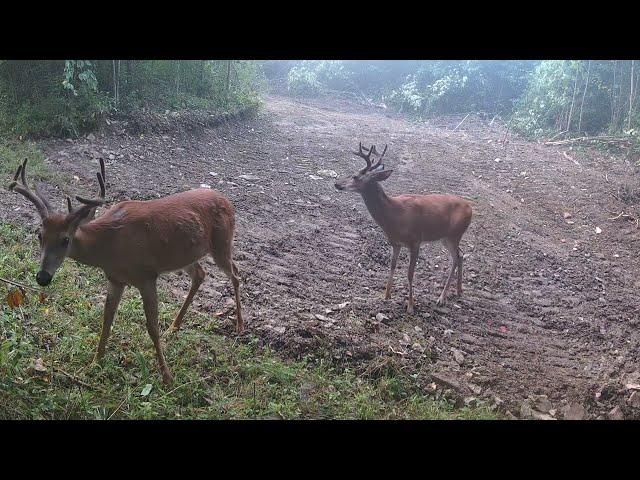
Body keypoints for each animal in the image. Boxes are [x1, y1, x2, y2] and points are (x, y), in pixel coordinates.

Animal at [7, 158, 242, 386]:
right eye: (39, 235)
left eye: (65, 239)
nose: (42, 277)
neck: (110, 244)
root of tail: (227, 201)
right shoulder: (115, 279)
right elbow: (107, 319)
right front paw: (94, 363)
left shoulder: (147, 276)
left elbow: (152, 327)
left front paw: (167, 376)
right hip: (186, 256)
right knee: (200, 275)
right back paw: (174, 326)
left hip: (222, 242)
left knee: (235, 274)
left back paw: (239, 325)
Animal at [336, 142, 470, 316]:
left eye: (355, 176)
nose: (337, 184)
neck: (394, 216)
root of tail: (470, 208)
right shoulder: (395, 242)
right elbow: (392, 265)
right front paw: (386, 295)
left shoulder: (416, 240)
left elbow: (410, 273)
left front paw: (411, 306)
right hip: (445, 238)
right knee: (460, 255)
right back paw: (459, 291)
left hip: (454, 234)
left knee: (456, 257)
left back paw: (441, 298)